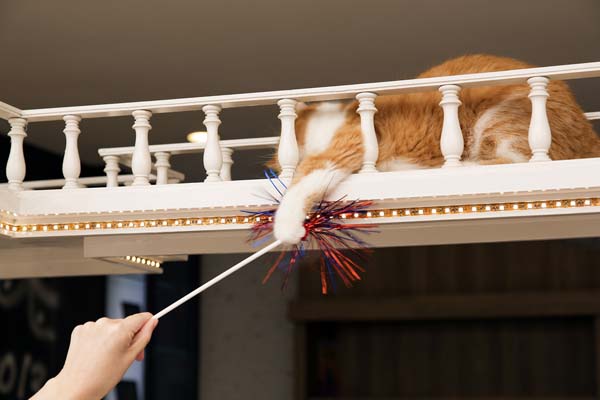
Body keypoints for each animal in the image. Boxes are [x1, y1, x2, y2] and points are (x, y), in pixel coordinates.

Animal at [270, 54, 600, 244]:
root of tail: (588, 130)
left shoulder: (352, 141)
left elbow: (307, 176)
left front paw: (285, 227)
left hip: (504, 121)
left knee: (508, 159)